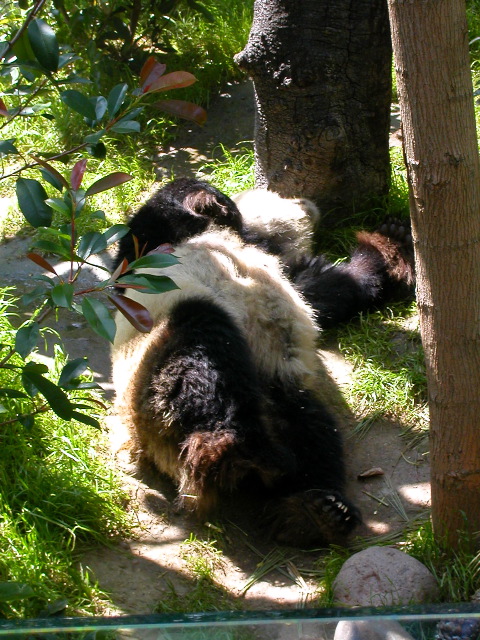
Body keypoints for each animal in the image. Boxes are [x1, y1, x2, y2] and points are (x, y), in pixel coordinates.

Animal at [110, 178, 414, 548]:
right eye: (280, 197)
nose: (307, 203)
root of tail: (146, 448)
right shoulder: (156, 258)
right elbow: (143, 235)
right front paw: (205, 197)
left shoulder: (280, 270)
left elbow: (325, 291)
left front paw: (392, 241)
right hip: (155, 377)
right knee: (201, 354)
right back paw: (230, 449)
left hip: (275, 391)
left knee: (311, 430)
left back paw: (310, 513)